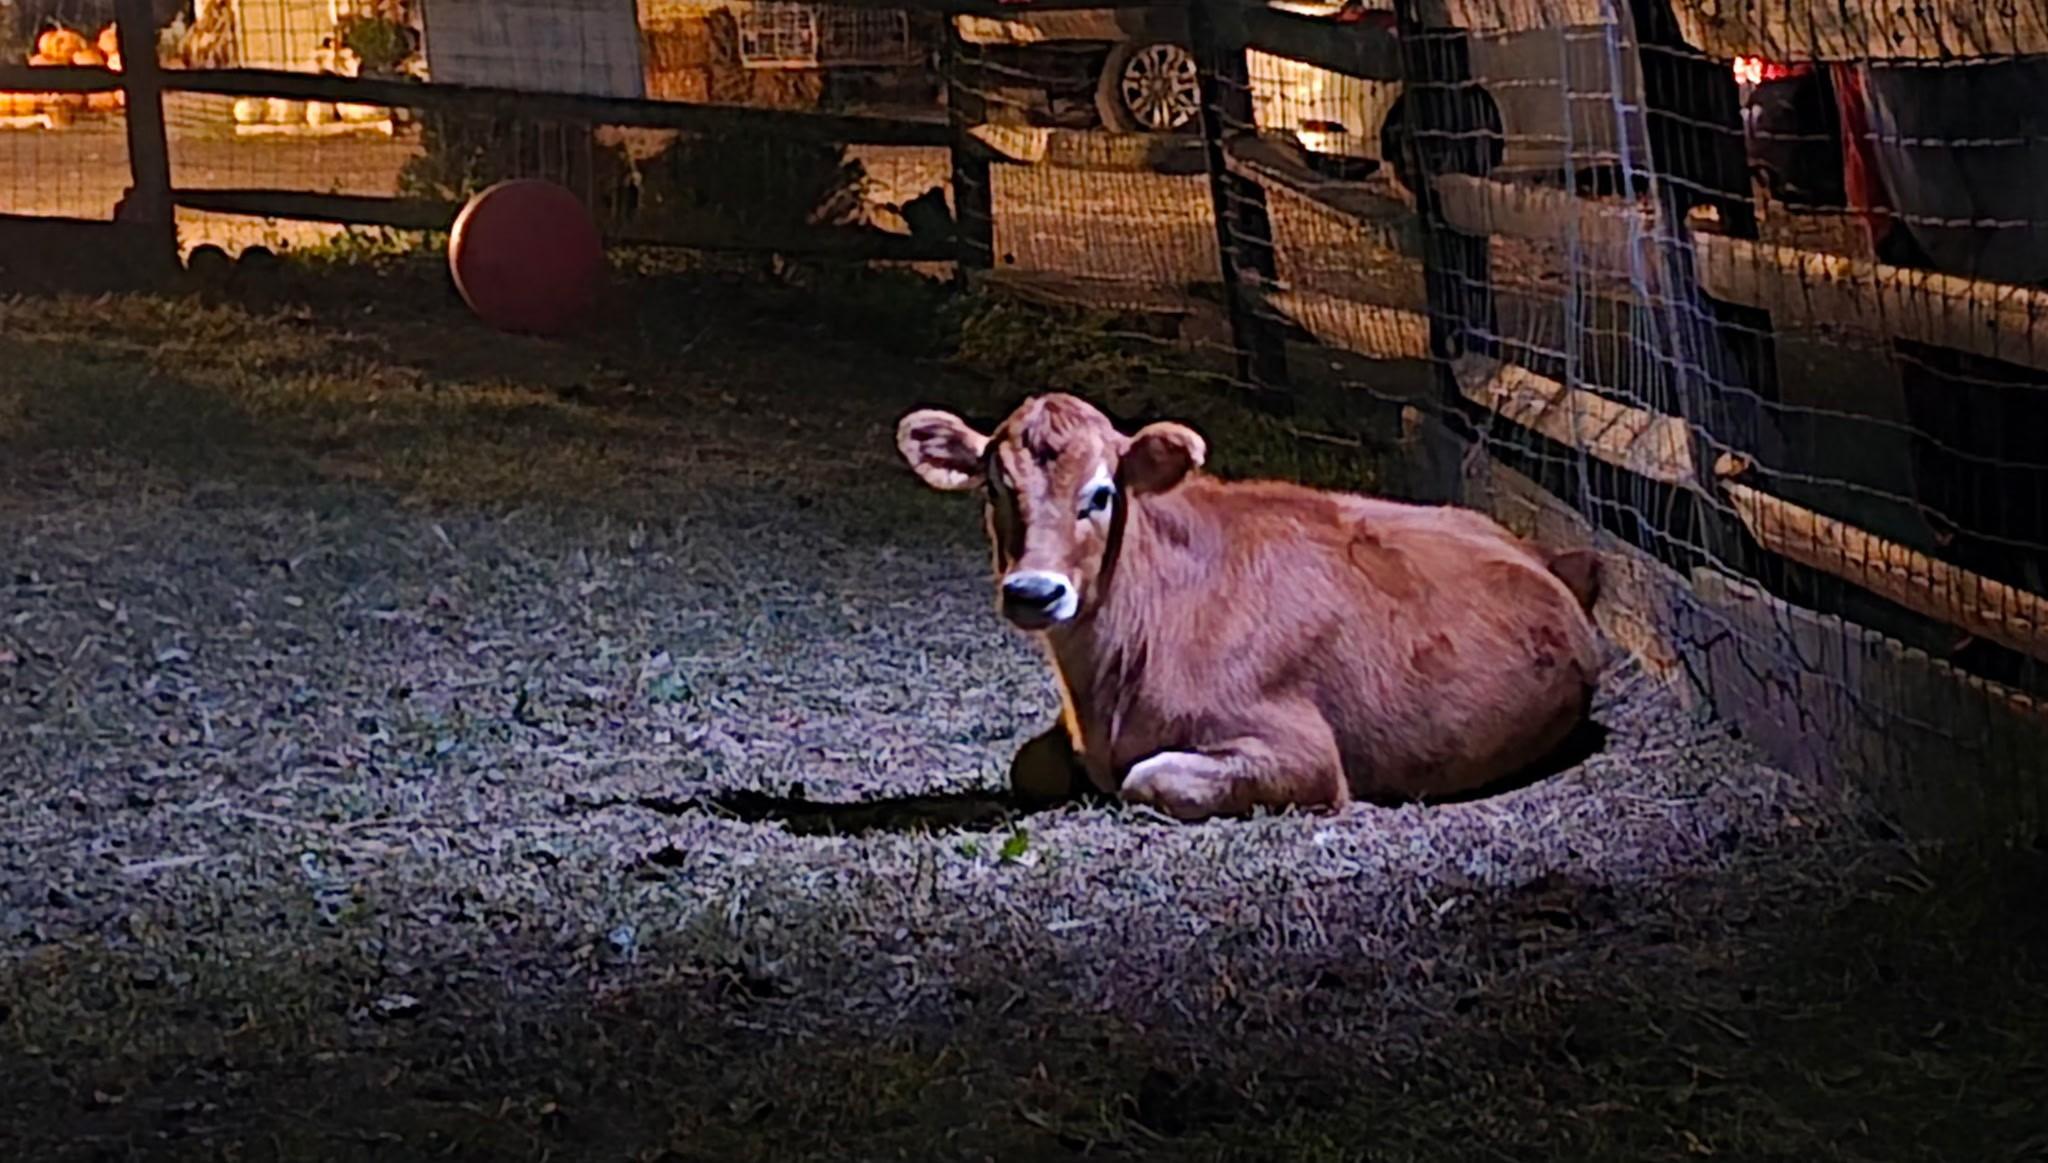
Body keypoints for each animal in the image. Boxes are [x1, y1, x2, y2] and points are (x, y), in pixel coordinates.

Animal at [895, 392, 1605, 823]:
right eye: (994, 488)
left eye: (1100, 494)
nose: (1034, 591)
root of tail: (1547, 554)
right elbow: (1031, 764)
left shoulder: (1303, 755)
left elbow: (1145, 778)